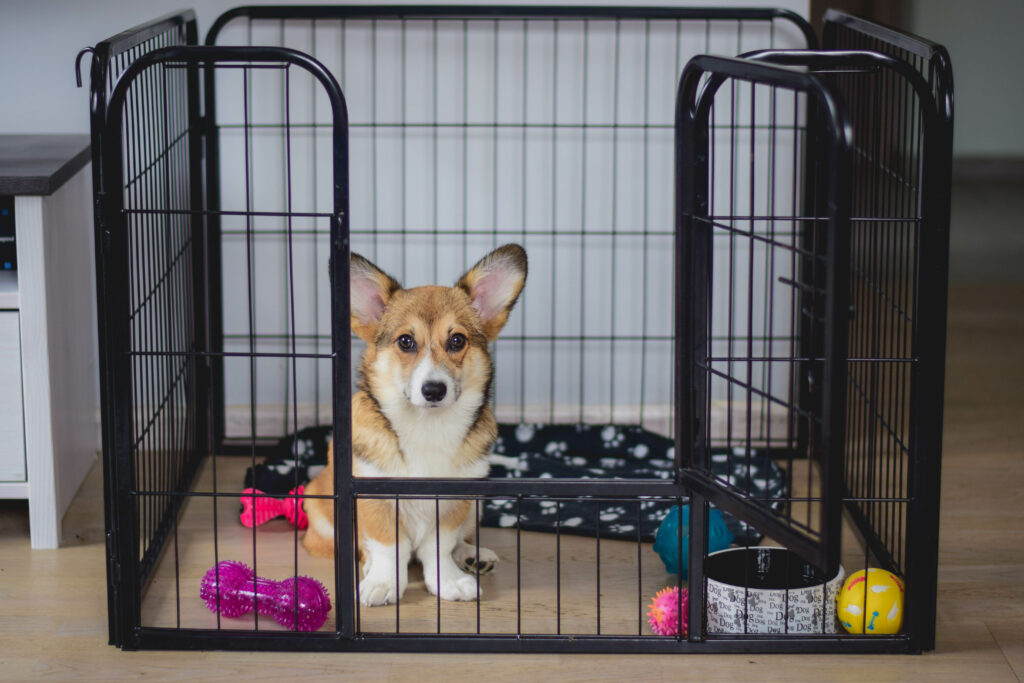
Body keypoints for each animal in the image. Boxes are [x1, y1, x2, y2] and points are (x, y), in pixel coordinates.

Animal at [301, 242, 528, 606]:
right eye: (406, 342)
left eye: (457, 341)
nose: (433, 390)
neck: (427, 426)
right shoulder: (374, 498)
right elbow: (387, 546)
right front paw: (382, 583)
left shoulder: (454, 503)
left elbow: (440, 547)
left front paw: (449, 580)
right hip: (321, 514)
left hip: (475, 506)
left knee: (458, 542)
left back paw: (472, 556)